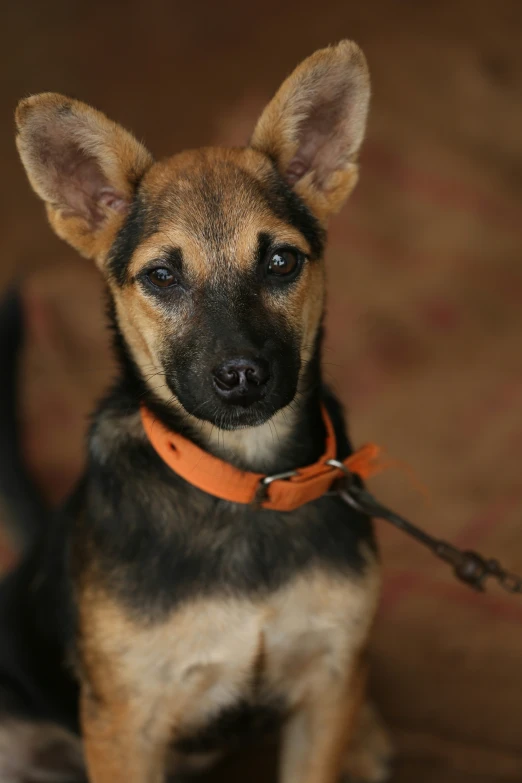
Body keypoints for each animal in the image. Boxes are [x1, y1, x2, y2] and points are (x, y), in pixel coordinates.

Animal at [0, 39, 390, 780]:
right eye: (162, 276)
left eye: (280, 261)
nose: (240, 377)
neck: (247, 483)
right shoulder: (126, 724)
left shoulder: (329, 684)